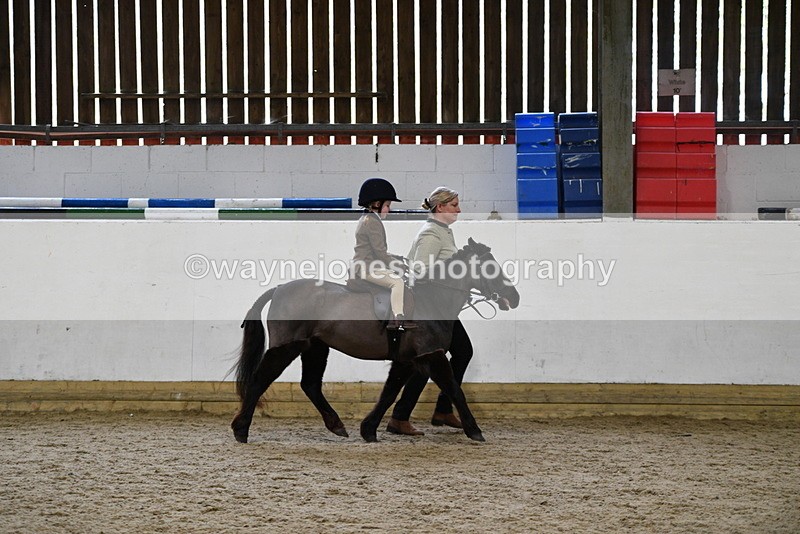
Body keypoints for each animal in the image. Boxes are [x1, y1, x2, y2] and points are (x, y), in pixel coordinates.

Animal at [231, 238, 520, 443]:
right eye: (491, 267)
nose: (514, 297)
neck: (433, 300)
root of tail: (279, 289)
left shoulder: (407, 360)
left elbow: (389, 392)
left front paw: (368, 429)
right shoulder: (432, 354)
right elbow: (454, 389)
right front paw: (475, 430)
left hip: (315, 348)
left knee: (310, 385)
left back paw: (336, 425)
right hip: (286, 348)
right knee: (259, 380)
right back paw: (241, 429)